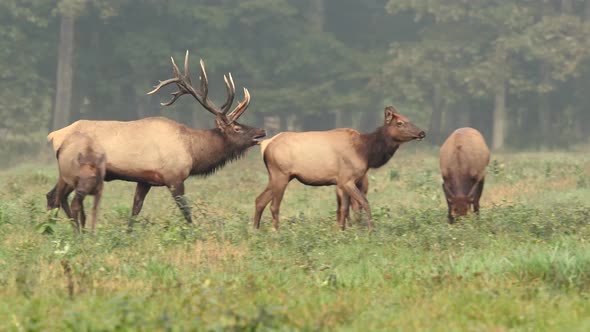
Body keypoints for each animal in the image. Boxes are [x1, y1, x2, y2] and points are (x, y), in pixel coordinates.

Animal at [46, 50, 266, 223]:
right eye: (236, 128)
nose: (261, 131)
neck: (193, 152)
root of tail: (54, 135)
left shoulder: (145, 180)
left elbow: (135, 211)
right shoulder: (174, 177)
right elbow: (186, 213)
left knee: (53, 196)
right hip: (75, 170)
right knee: (55, 197)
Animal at [254, 106, 426, 231]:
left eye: (408, 120)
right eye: (399, 123)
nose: (422, 132)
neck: (366, 153)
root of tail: (266, 146)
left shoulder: (341, 182)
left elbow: (344, 209)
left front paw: (342, 231)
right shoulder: (347, 179)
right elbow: (364, 203)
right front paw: (371, 229)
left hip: (278, 176)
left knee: (259, 200)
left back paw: (255, 230)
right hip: (280, 174)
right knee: (274, 205)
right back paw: (276, 232)